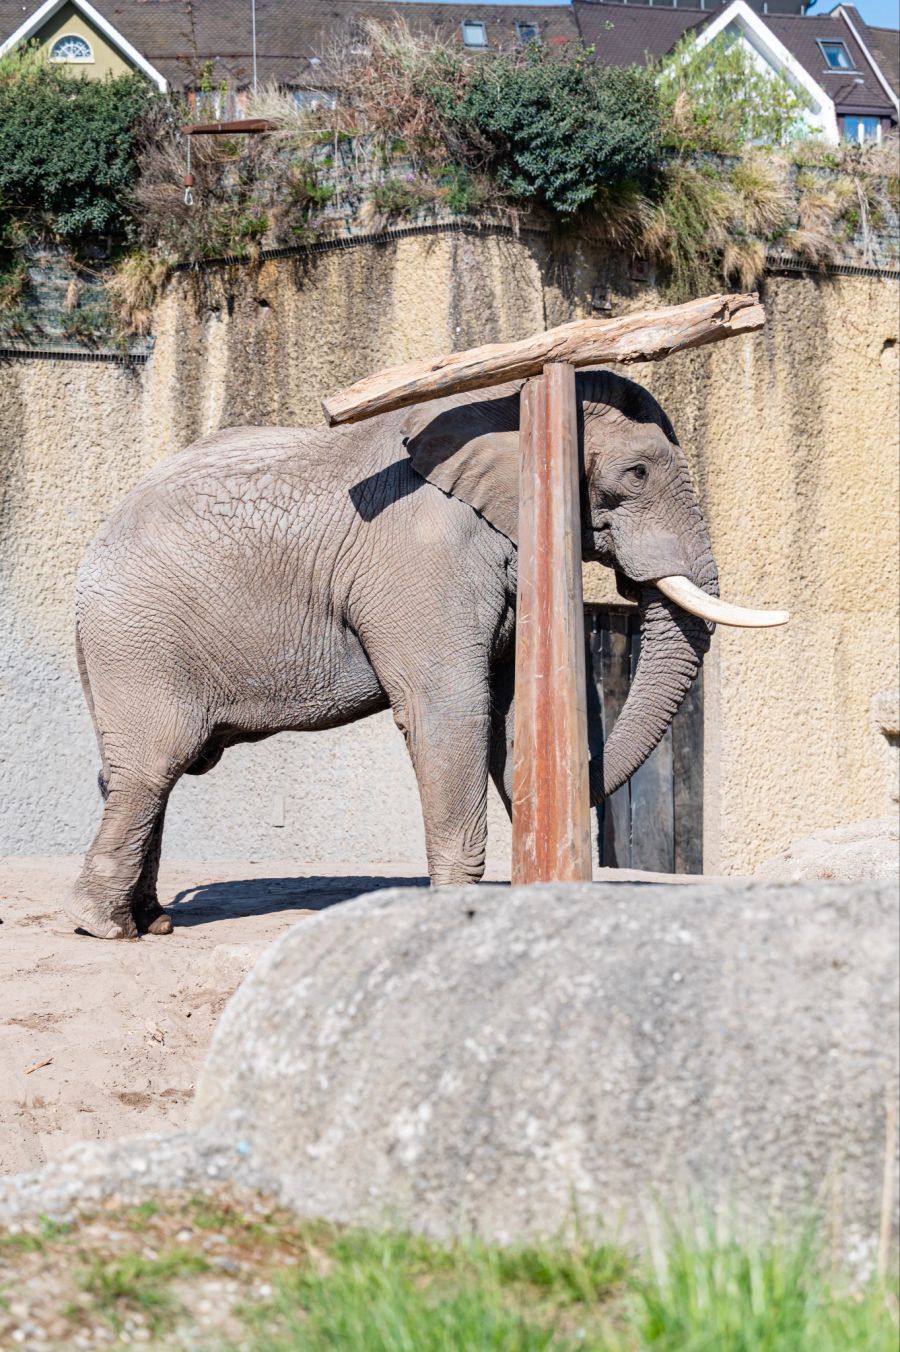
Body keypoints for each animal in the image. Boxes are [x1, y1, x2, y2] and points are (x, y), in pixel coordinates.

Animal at [64, 370, 778, 940]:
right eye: (636, 474)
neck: (507, 400)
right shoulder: (424, 554)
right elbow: (453, 713)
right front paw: (461, 917)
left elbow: (509, 714)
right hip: (138, 635)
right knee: (154, 765)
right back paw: (108, 928)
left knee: (139, 773)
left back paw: (154, 919)